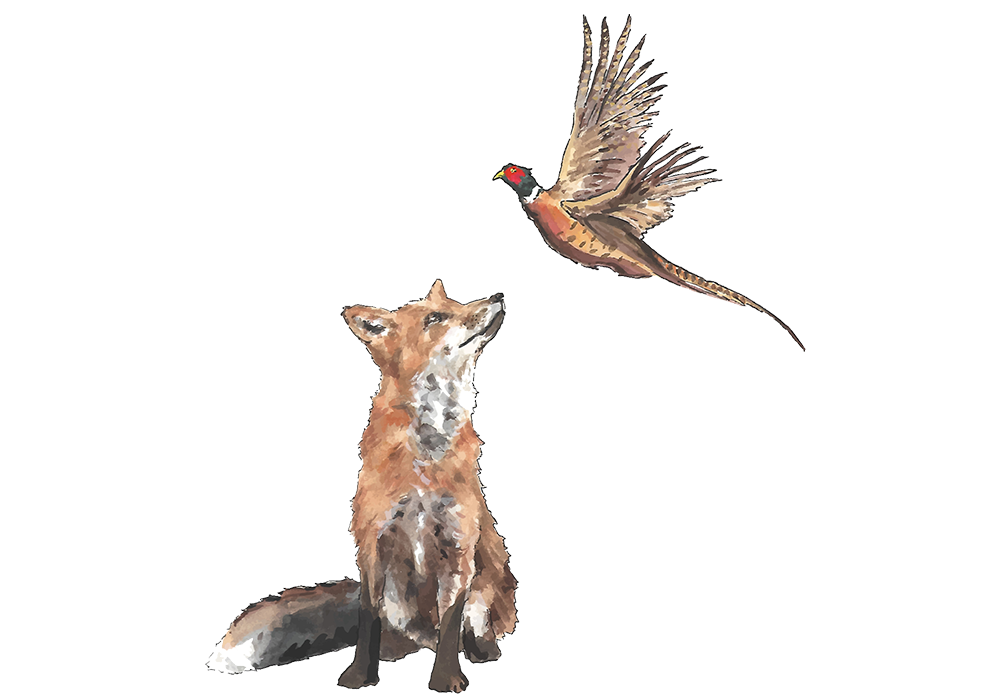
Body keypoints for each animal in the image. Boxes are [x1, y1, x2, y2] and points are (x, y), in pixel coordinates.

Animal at [208, 280, 518, 693]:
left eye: (456, 303)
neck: (424, 460)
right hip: (399, 598)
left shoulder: (458, 546)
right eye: (436, 317)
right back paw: (393, 649)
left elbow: (452, 619)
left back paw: (481, 650)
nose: (497, 296)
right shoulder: (374, 540)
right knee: (396, 632)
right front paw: (359, 675)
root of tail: (423, 638)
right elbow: (367, 619)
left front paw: (447, 678)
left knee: (467, 627)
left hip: (489, 582)